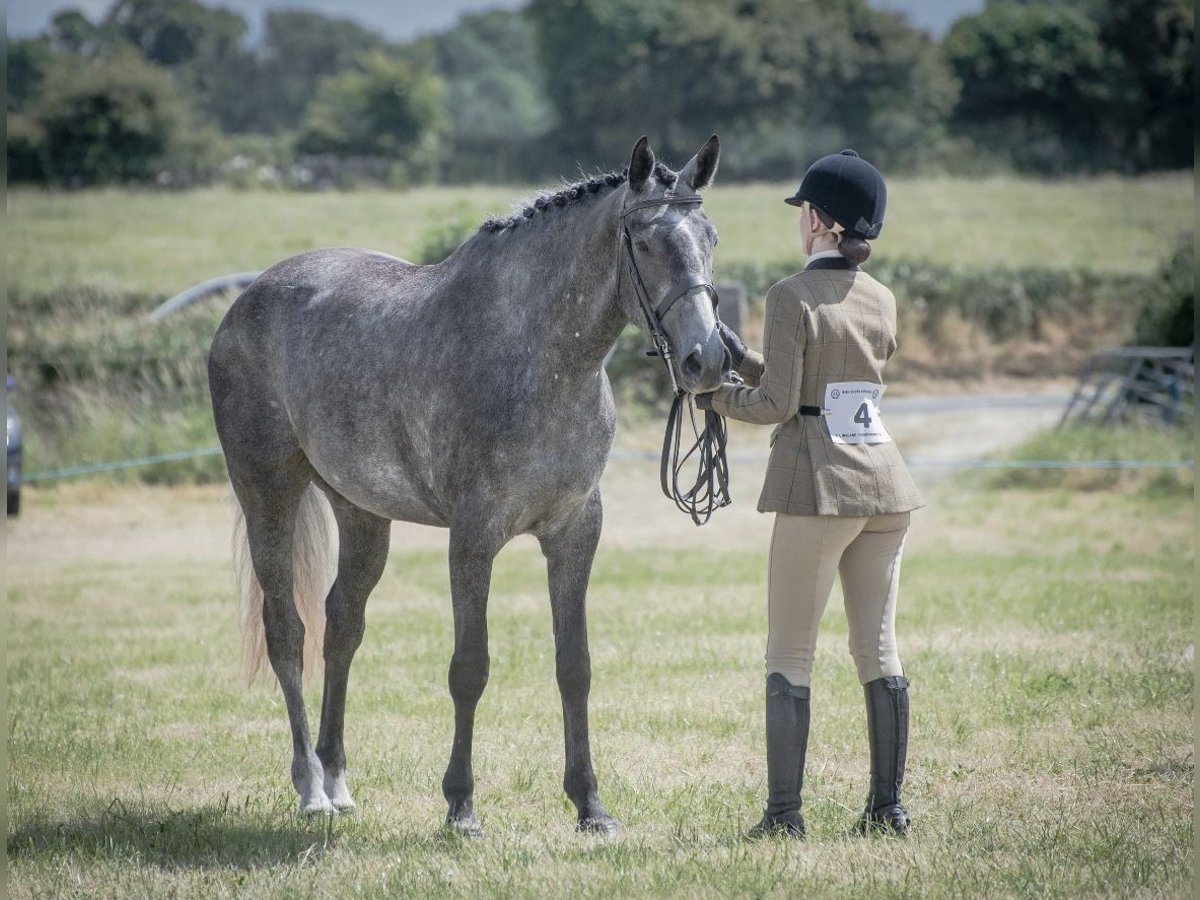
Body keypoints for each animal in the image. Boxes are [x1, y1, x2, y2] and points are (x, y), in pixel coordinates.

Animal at [208, 135, 720, 840]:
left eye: (710, 236)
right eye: (644, 243)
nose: (710, 359)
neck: (536, 359)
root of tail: (246, 301)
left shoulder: (574, 533)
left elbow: (575, 667)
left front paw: (590, 806)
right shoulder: (473, 539)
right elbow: (469, 669)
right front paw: (461, 807)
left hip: (360, 512)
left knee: (341, 625)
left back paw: (337, 780)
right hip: (268, 494)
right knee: (286, 631)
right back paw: (311, 788)